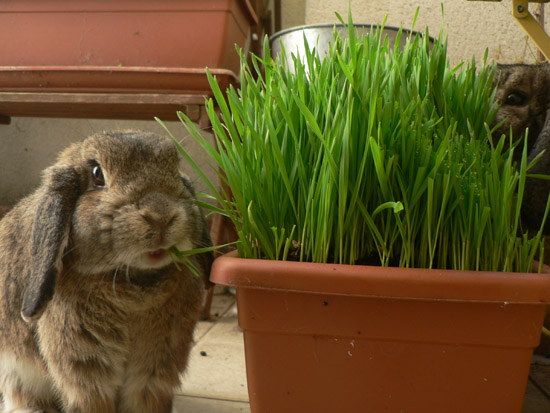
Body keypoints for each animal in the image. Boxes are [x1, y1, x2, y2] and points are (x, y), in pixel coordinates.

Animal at [0, 131, 215, 412]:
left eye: (176, 169)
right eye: (96, 174)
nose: (161, 216)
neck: (134, 281)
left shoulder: (157, 365)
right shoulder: (85, 364)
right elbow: (91, 399)